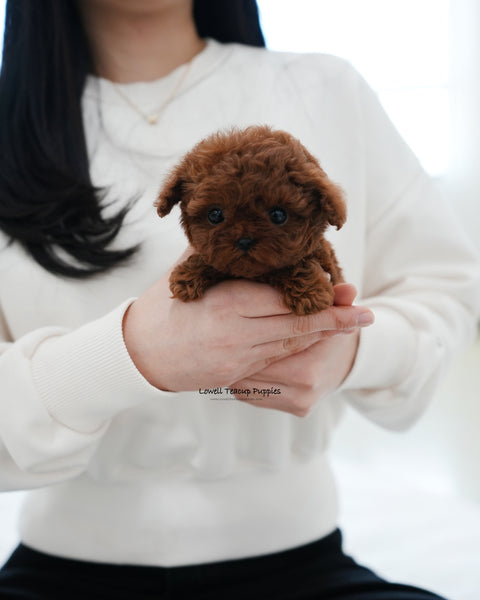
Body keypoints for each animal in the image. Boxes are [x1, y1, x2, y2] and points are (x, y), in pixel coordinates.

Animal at [156, 125, 346, 316]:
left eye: (278, 215)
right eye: (214, 215)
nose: (244, 241)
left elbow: (297, 264)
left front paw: (310, 292)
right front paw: (188, 277)